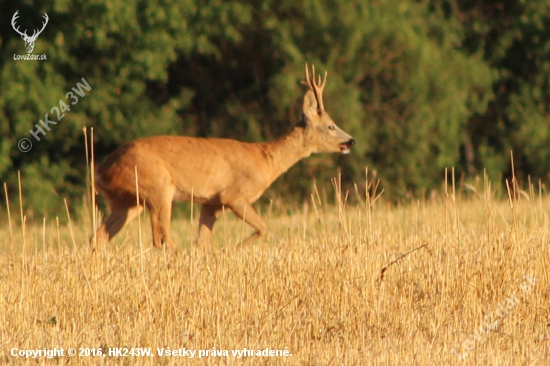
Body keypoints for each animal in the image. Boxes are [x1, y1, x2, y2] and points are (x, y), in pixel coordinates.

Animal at [92, 65, 356, 249]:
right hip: (157, 186)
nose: (351, 141)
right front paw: (231, 250)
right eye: (331, 126)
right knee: (161, 237)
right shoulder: (234, 195)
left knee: (99, 236)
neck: (267, 161)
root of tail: (101, 170)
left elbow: (202, 242)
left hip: (128, 200)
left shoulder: (212, 202)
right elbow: (263, 228)